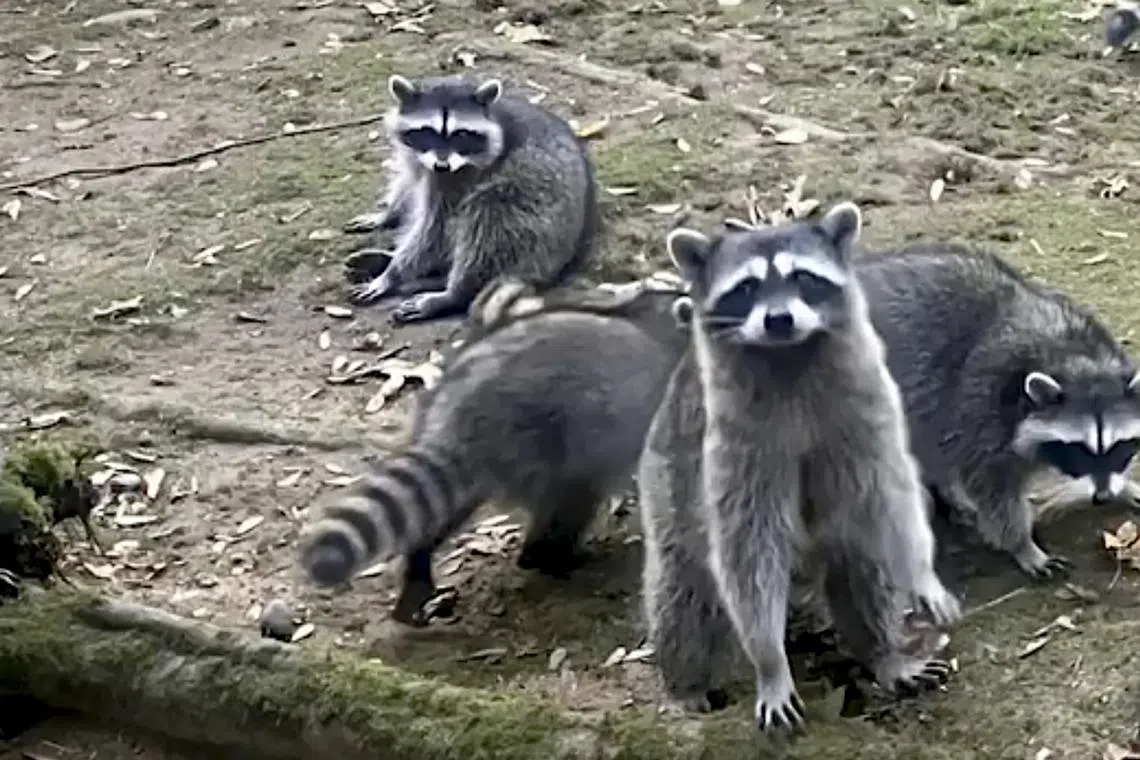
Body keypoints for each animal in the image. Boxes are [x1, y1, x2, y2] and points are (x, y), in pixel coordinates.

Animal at [299, 275, 691, 625]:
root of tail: (461, 409)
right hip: (545, 440)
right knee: (573, 500)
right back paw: (549, 555)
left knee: (446, 509)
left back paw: (419, 563)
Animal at [343, 74, 599, 325]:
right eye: (427, 132)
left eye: (462, 135)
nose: (442, 166)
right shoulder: (416, 158)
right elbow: (409, 184)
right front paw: (387, 214)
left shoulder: (461, 178)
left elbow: (436, 229)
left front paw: (391, 275)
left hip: (532, 212)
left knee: (486, 225)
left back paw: (452, 294)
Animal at [639, 203, 960, 734]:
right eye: (746, 287)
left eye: (804, 278)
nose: (779, 319)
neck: (788, 354)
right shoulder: (734, 445)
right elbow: (746, 551)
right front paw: (770, 661)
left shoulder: (870, 406)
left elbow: (893, 496)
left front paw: (922, 573)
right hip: (666, 482)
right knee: (683, 591)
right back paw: (686, 683)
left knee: (863, 563)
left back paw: (883, 652)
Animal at [855, 244, 1140, 579]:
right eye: (1078, 450)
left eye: (1119, 447)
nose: (1103, 498)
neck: (1077, 359)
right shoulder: (981, 407)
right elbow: (993, 488)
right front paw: (1023, 545)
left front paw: (1124, 485)